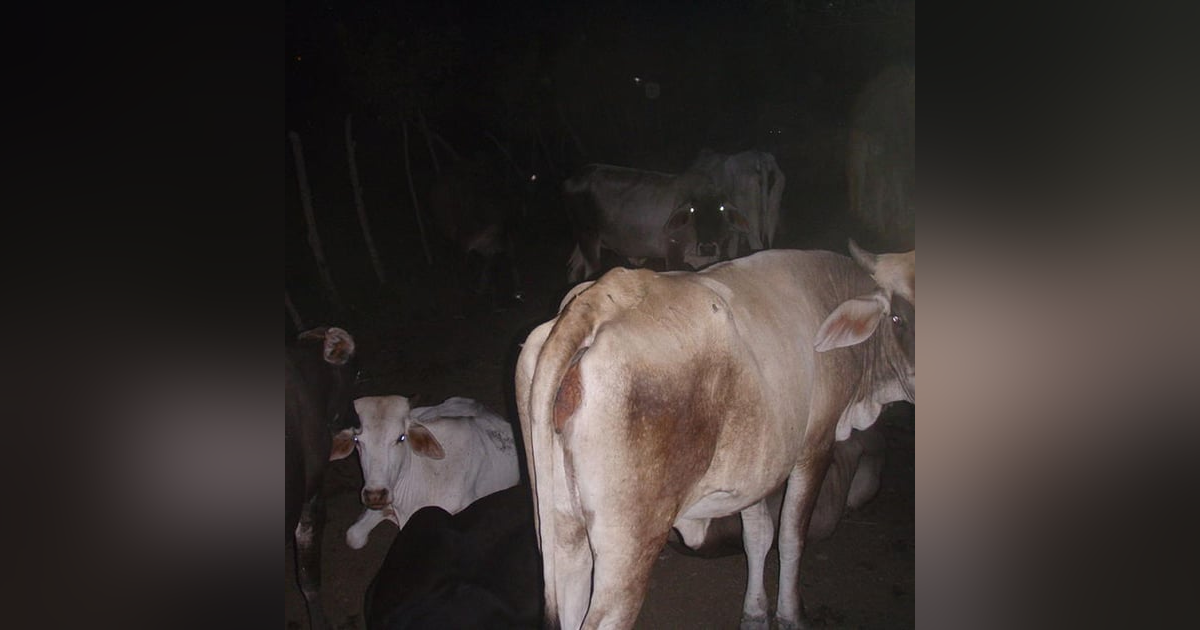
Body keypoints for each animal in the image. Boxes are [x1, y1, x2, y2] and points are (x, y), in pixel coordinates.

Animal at [515, 241, 915, 629]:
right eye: (898, 317)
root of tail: (604, 297)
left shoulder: (759, 465)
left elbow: (758, 536)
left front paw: (755, 613)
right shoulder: (816, 446)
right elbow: (791, 537)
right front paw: (790, 615)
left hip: (563, 528)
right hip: (627, 549)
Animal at [562, 163, 751, 283]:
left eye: (721, 208)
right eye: (692, 210)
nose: (707, 247)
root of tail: (571, 179)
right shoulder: (673, 252)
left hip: (582, 240)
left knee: (573, 269)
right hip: (588, 237)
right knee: (591, 270)